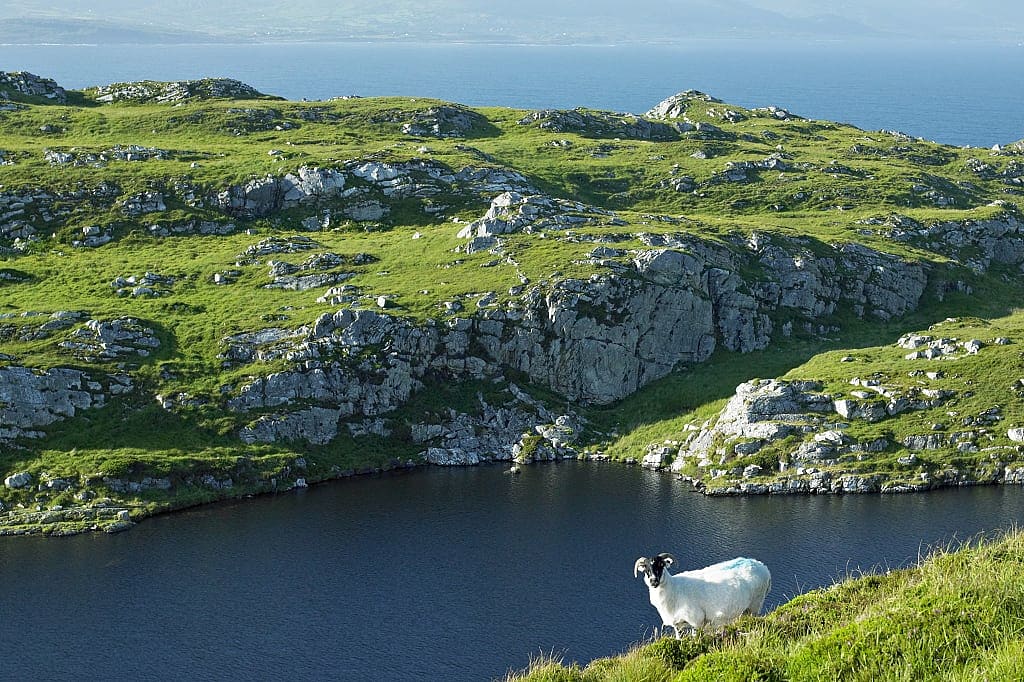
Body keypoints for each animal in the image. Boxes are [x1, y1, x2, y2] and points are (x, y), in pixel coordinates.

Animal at [633, 553, 771, 638]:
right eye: (646, 569)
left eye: (661, 565)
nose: (653, 581)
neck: (674, 590)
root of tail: (763, 566)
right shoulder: (677, 625)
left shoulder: (697, 621)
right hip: (745, 610)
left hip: (756, 605)